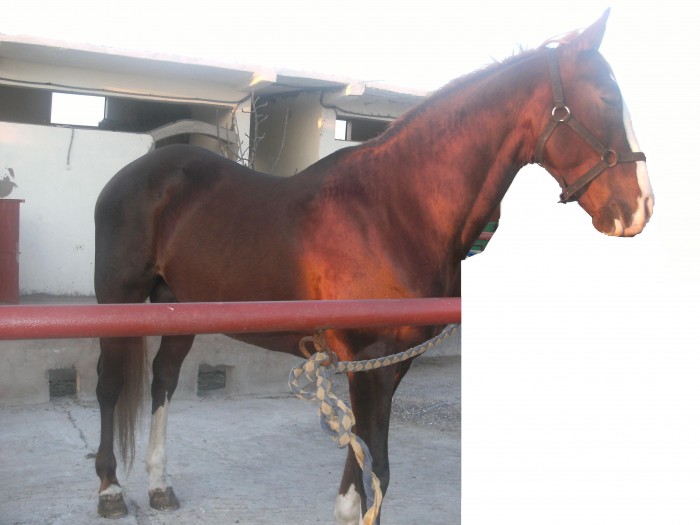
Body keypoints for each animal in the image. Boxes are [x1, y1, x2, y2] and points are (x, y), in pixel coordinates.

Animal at [93, 10, 652, 524]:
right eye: (606, 99)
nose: (639, 209)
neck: (393, 210)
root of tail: (140, 169)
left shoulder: (391, 362)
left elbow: (371, 464)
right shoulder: (367, 359)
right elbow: (371, 470)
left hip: (178, 305)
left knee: (163, 380)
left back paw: (159, 484)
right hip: (119, 299)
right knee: (110, 385)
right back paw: (111, 490)